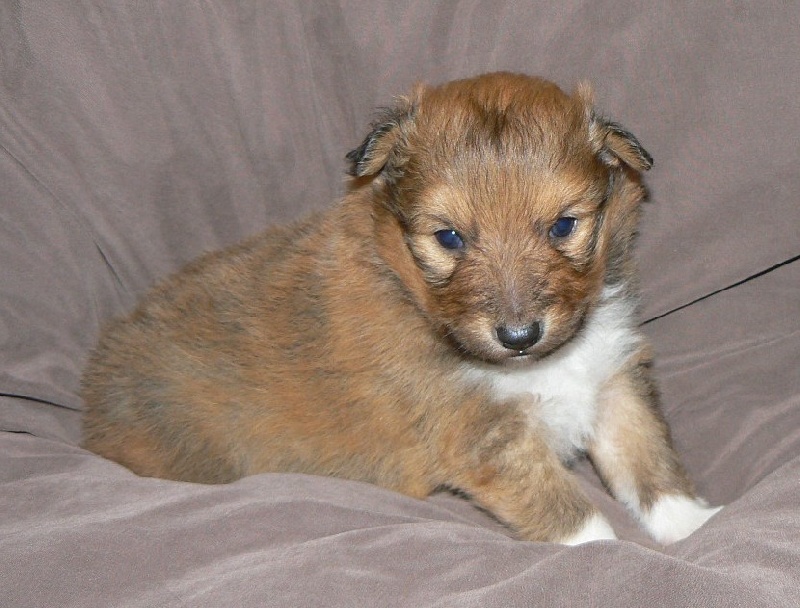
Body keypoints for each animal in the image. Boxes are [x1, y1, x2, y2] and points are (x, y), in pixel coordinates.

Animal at [84, 72, 720, 548]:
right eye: (450, 238)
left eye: (564, 226)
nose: (518, 336)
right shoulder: (483, 435)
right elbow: (577, 520)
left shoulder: (612, 382)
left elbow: (652, 467)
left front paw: (700, 529)